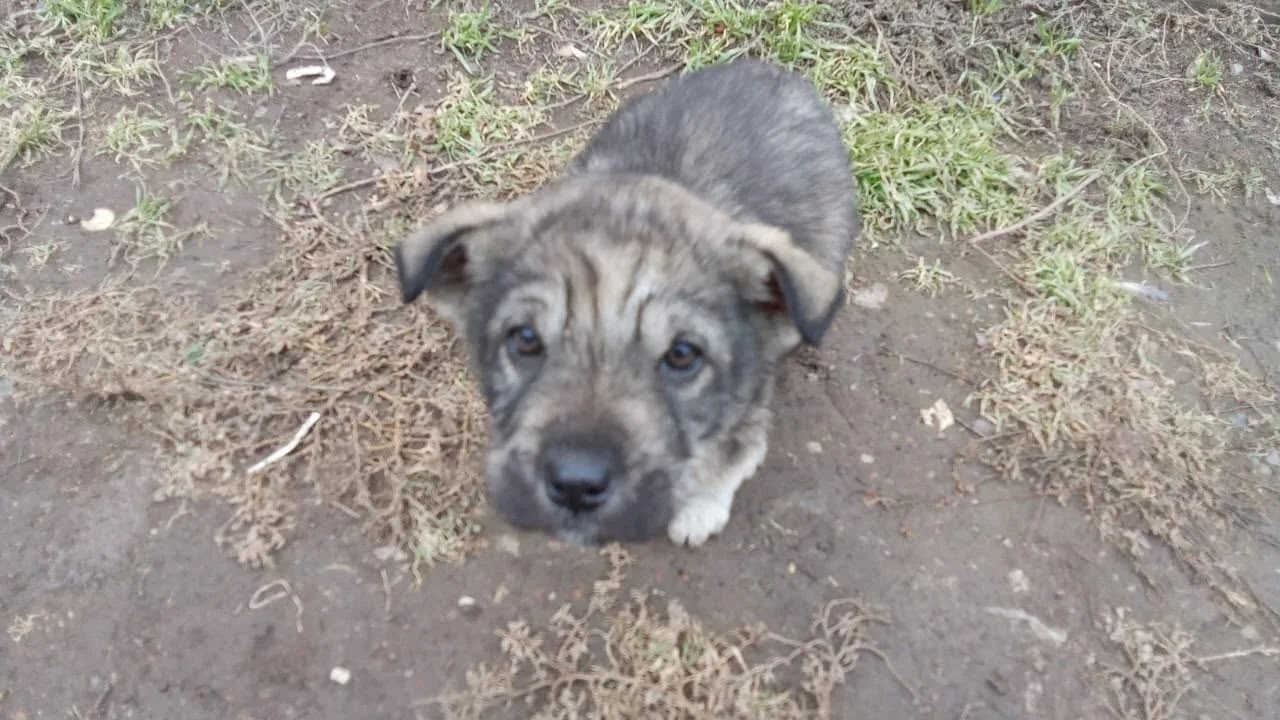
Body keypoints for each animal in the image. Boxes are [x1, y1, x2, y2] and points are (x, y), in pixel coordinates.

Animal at [394, 58, 860, 547]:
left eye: (682, 354)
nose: (576, 486)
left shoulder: (745, 406)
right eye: (524, 339)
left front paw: (699, 508)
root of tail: (777, 71)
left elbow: (731, 455)